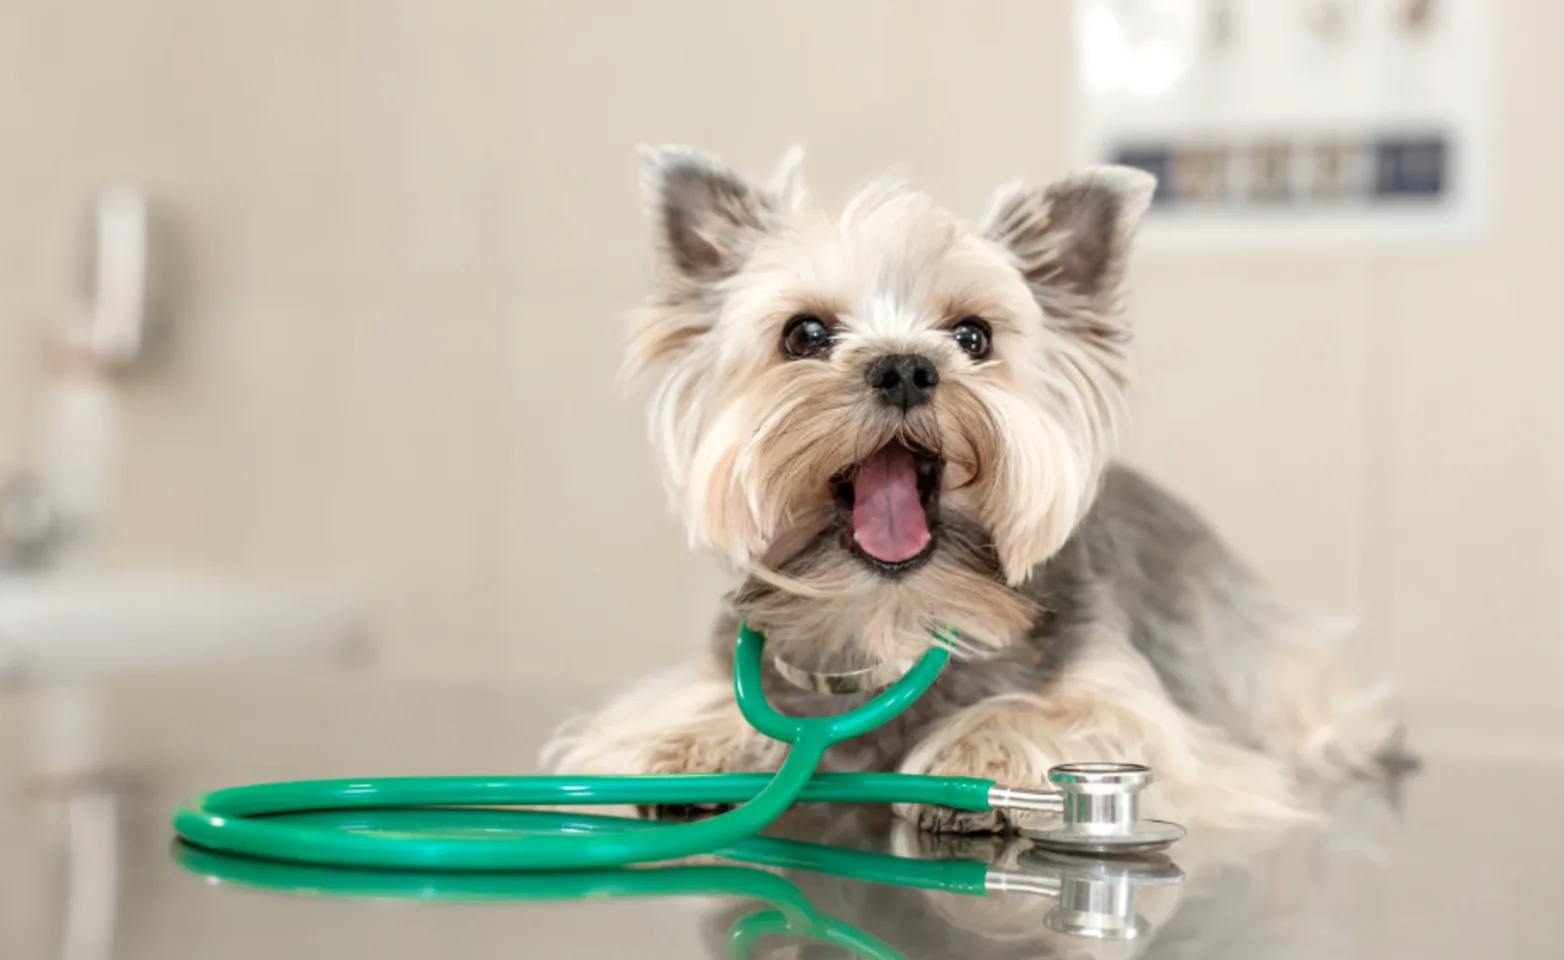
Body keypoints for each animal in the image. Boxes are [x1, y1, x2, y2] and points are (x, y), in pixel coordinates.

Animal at [541, 144, 1407, 838]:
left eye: (973, 336)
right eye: (805, 334)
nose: (904, 366)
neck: (890, 613)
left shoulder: (1142, 712)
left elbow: (1081, 716)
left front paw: (980, 750)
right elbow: (679, 708)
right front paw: (692, 739)